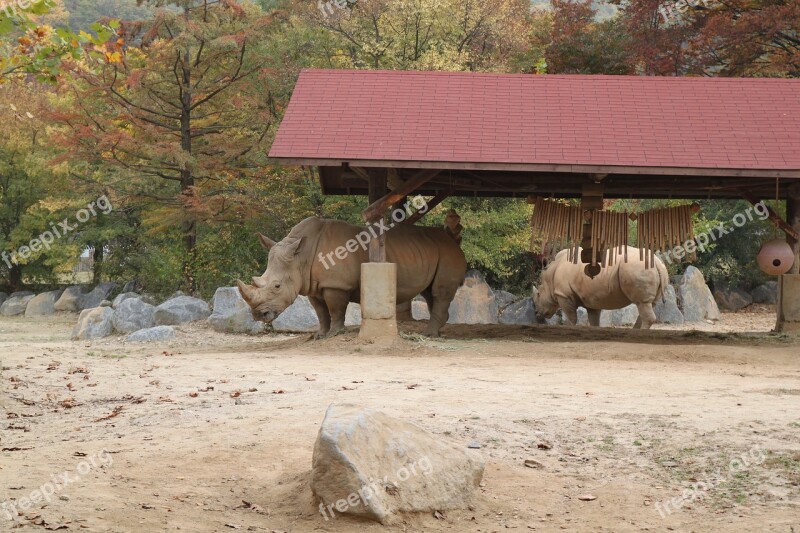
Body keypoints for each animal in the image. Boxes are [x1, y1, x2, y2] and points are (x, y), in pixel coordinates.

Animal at [234, 216, 466, 336]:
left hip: (447, 253)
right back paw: (438, 330)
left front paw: (335, 334)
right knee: (430, 293)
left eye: (277, 286)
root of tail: (453, 241)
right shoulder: (312, 285)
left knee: (440, 292)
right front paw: (320, 335)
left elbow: (335, 309)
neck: (301, 257)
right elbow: (320, 312)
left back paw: (429, 334)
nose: (258, 315)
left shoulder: (335, 285)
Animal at [536, 245, 668, 328]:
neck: (550, 275)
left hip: (637, 268)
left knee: (642, 303)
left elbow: (571, 318)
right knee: (648, 304)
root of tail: (658, 263)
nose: (537, 313)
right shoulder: (592, 298)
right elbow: (594, 319)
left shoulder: (563, 294)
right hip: (651, 269)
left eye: (538, 294)